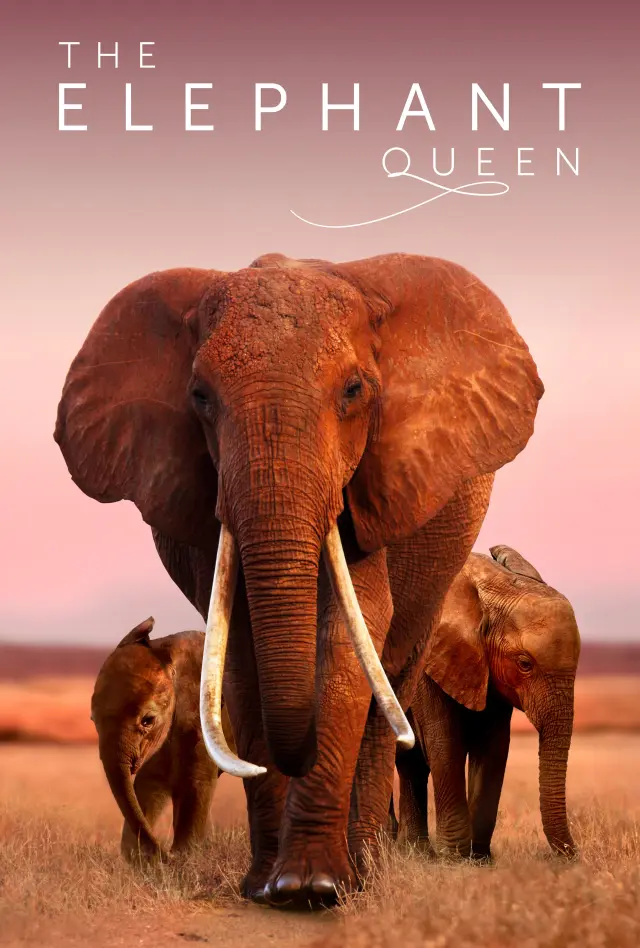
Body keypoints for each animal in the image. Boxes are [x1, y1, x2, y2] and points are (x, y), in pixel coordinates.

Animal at [91, 617, 235, 861]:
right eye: (93, 720)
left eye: (147, 721)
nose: (165, 852)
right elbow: (149, 782)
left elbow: (196, 783)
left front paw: (184, 856)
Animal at [393, 545, 580, 860]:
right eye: (525, 664)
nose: (574, 855)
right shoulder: (428, 660)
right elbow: (445, 742)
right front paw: (453, 859)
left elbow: (493, 747)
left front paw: (479, 859)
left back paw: (412, 852)